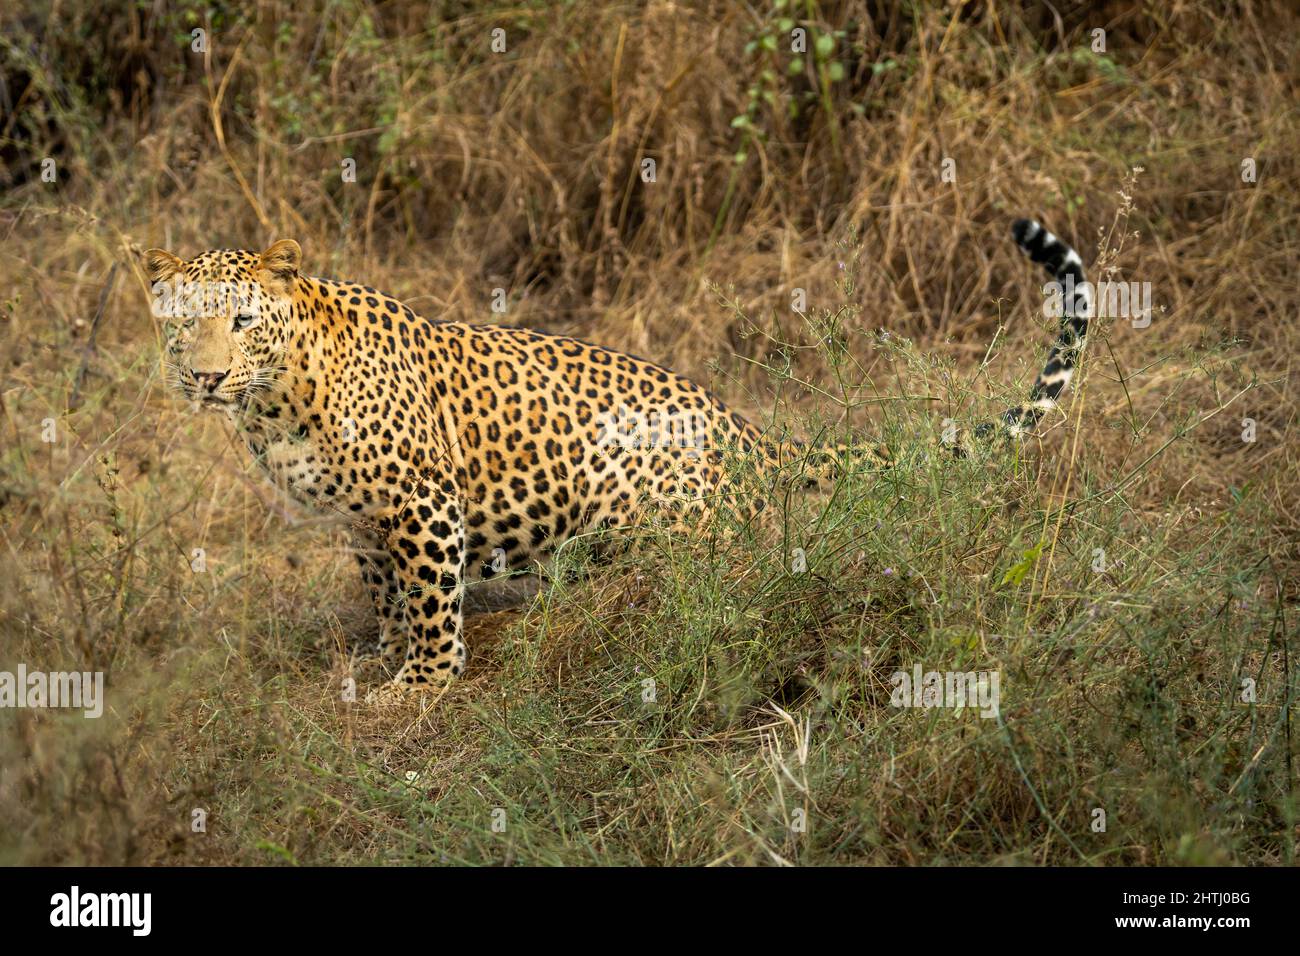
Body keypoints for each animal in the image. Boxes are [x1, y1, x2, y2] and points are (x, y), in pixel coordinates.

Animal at [144, 221, 1086, 707]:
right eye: (183, 323)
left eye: (241, 320)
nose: (207, 376)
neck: (276, 403)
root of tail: (747, 428)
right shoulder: (361, 519)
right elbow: (386, 592)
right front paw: (385, 654)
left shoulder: (421, 501)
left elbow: (432, 599)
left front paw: (423, 682)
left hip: (650, 504)